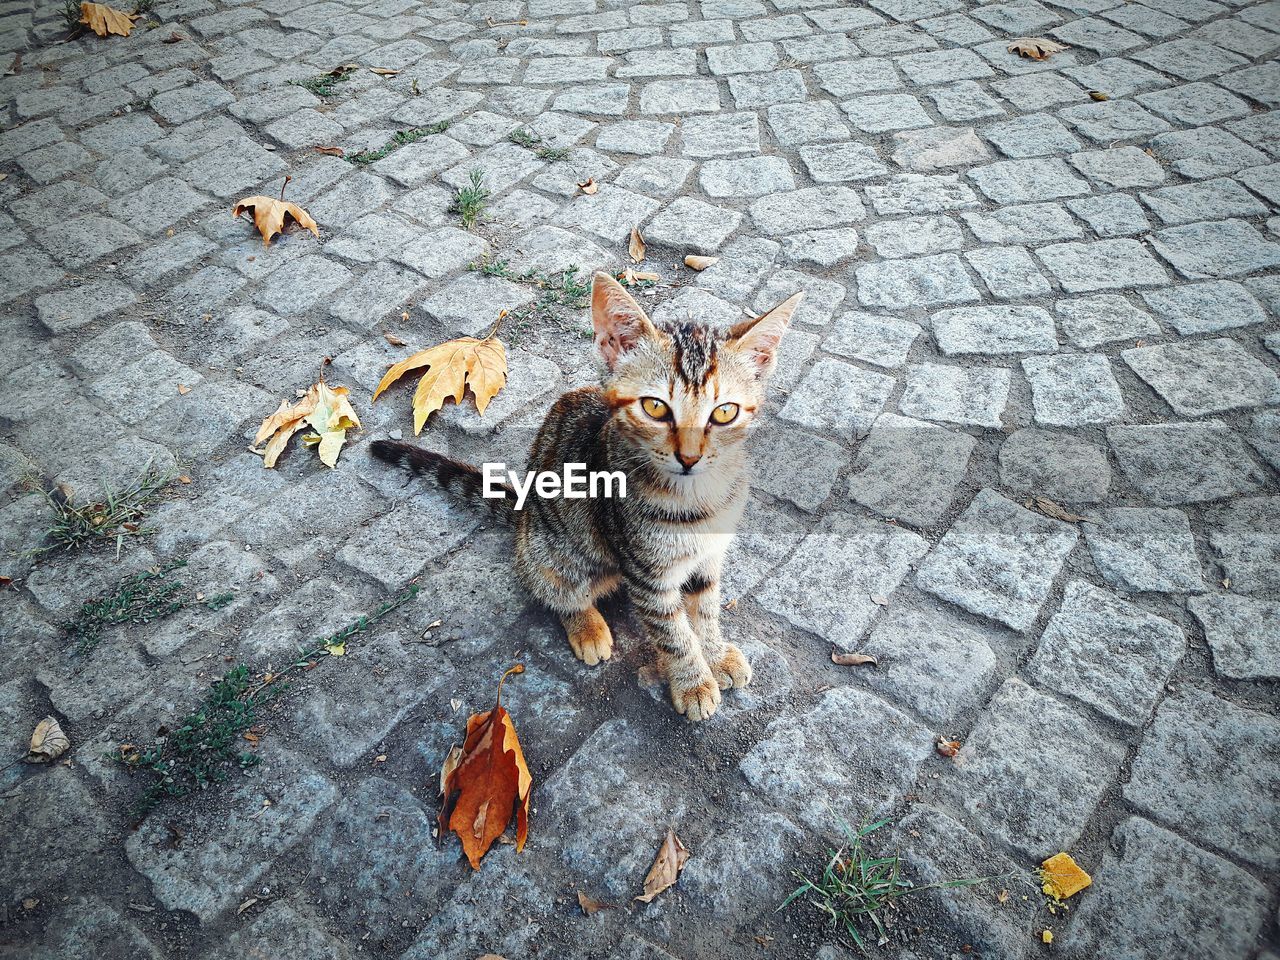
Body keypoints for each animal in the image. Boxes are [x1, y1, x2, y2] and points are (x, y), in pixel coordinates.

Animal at [371, 271, 803, 721]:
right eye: (655, 407)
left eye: (724, 412)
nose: (689, 457)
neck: (699, 498)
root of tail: (524, 513)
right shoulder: (646, 574)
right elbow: (672, 632)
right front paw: (694, 682)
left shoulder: (709, 557)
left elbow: (705, 609)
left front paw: (715, 654)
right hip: (555, 555)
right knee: (553, 590)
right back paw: (587, 627)